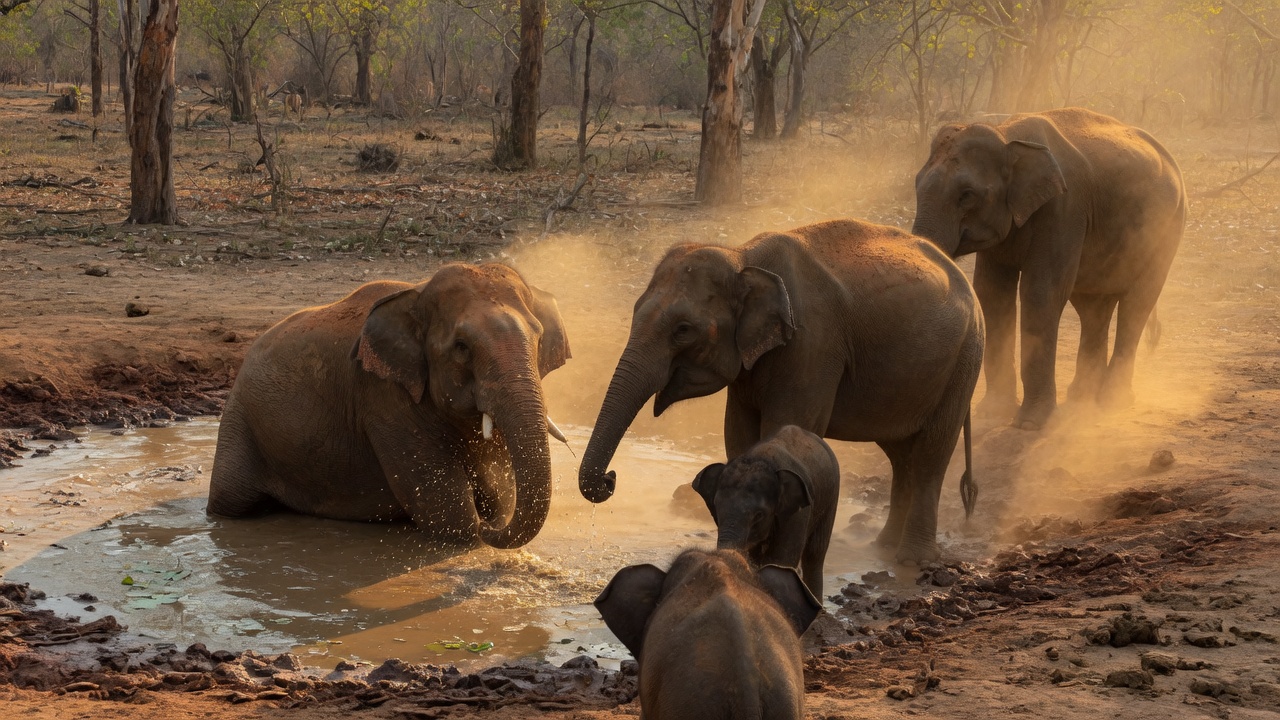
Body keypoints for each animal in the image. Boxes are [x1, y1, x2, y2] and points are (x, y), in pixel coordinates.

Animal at [207, 263, 571, 549]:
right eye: (461, 347)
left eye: (539, 339)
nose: (489, 528)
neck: (417, 294)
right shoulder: (382, 398)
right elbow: (448, 510)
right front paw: (476, 529)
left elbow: (499, 486)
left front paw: (489, 515)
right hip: (239, 420)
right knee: (230, 500)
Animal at [579, 219, 984, 564]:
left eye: (682, 330)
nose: (610, 478)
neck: (743, 257)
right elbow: (738, 436)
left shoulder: (811, 345)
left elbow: (785, 429)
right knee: (901, 454)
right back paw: (882, 548)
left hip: (966, 358)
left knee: (931, 452)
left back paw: (911, 559)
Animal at [692, 425, 839, 599]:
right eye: (716, 507)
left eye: (759, 515)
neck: (763, 458)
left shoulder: (798, 515)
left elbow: (781, 560)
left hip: (831, 498)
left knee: (815, 554)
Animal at [911, 108, 1186, 430]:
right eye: (916, 185)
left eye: (966, 194)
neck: (1007, 134)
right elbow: (992, 294)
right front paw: (992, 413)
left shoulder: (1064, 208)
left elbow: (1041, 293)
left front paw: (1029, 424)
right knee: (1093, 307)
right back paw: (1082, 397)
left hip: (1167, 228)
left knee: (1137, 303)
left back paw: (1111, 402)